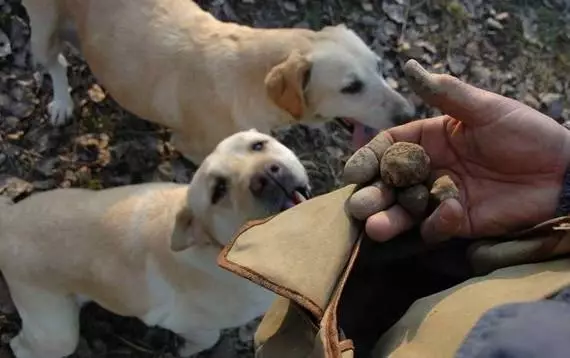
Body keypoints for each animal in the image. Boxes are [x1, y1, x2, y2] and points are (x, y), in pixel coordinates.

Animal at [0, 129, 310, 358]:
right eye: (218, 191)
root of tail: (8, 219)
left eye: (259, 145)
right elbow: (207, 338)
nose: (267, 175)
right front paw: (184, 349)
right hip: (56, 334)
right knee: (23, 346)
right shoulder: (184, 322)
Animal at [22, 0, 414, 163]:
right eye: (351, 87)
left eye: (380, 68)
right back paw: (62, 103)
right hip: (40, 30)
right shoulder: (192, 147)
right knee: (56, 62)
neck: (251, 80)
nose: (409, 114)